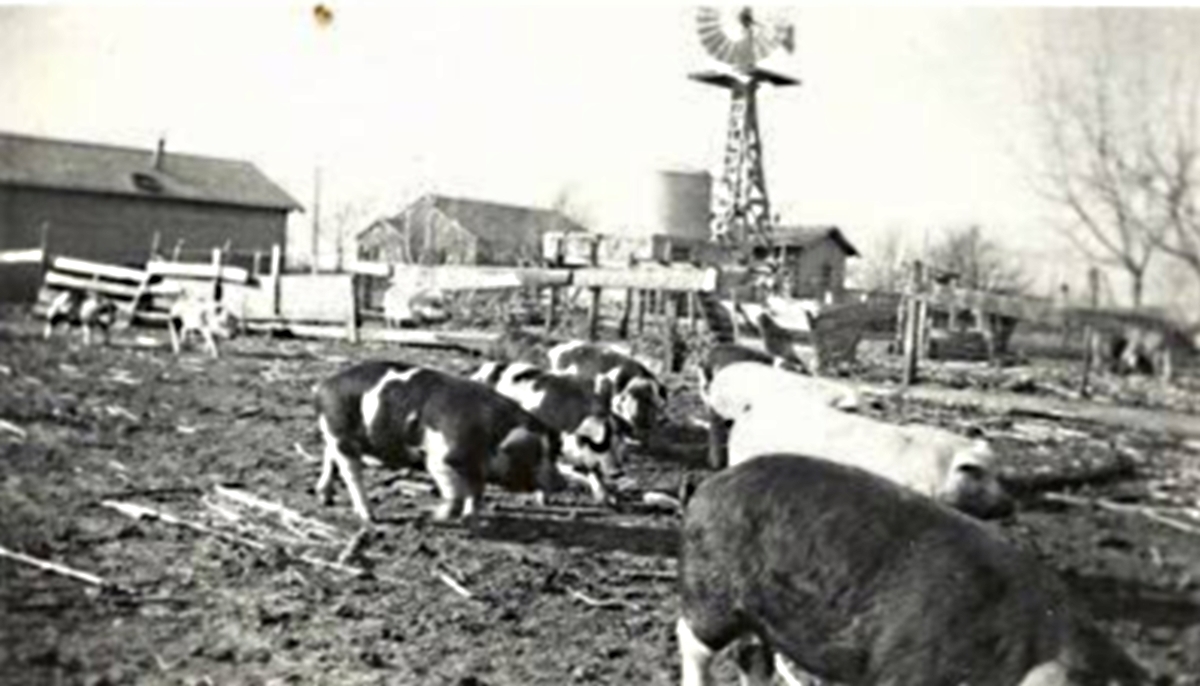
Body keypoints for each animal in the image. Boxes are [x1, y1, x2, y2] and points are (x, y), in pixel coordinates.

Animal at [465, 359, 624, 503]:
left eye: (615, 439)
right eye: (598, 441)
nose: (618, 473)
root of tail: (475, 372)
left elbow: (591, 471)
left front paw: (607, 499)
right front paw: (542, 500)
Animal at [681, 455, 1147, 686]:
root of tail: (710, 484)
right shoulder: (906, 670)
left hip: (760, 614)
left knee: (753, 656)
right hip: (713, 592)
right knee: (693, 641)